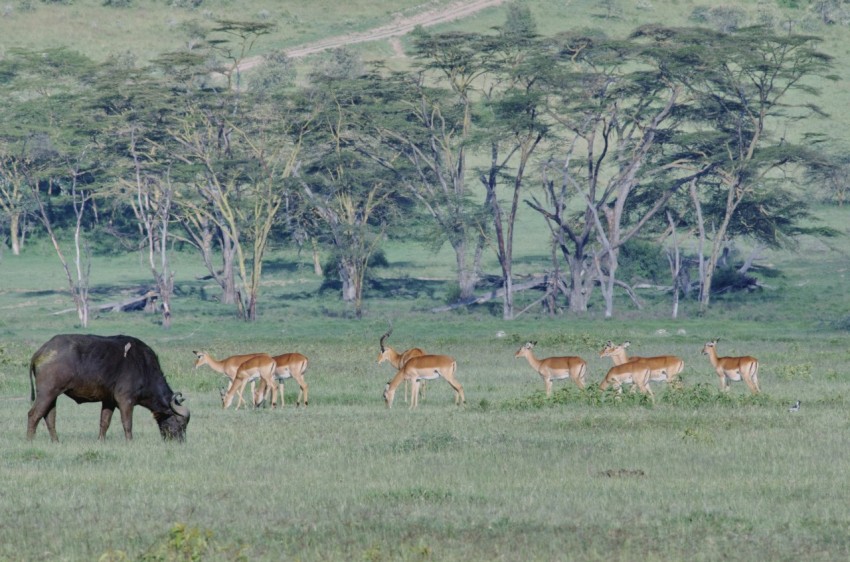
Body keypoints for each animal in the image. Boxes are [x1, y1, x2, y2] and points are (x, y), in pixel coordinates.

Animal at [29, 334, 190, 440]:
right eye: (180, 422)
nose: (180, 441)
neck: (143, 367)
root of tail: (41, 351)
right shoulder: (126, 400)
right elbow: (127, 423)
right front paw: (130, 442)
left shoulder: (109, 401)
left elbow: (104, 422)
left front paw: (101, 440)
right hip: (46, 393)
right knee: (34, 414)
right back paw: (30, 440)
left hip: (53, 395)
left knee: (49, 417)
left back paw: (56, 441)